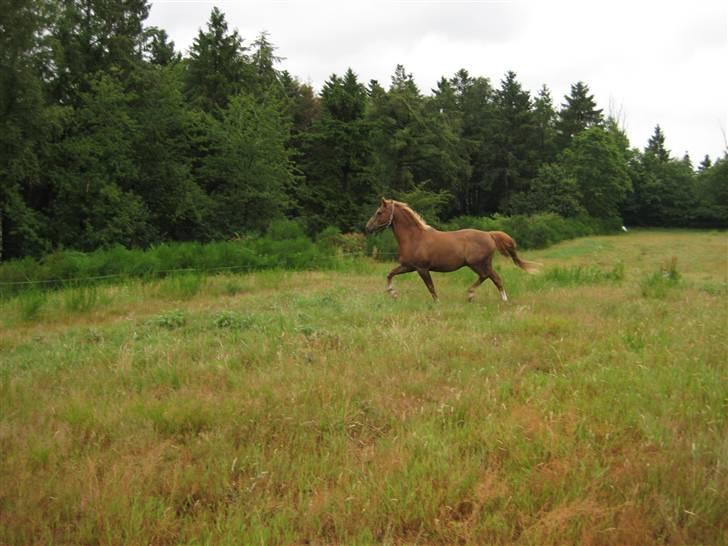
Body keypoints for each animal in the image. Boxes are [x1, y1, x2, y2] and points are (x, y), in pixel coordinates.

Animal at [364, 198, 540, 302]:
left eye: (379, 212)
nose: (368, 227)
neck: (414, 238)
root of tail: (489, 235)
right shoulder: (408, 266)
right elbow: (390, 274)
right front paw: (392, 293)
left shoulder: (422, 268)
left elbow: (431, 287)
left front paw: (437, 303)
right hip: (482, 264)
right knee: (494, 278)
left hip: (478, 263)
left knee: (489, 277)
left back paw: (475, 295)